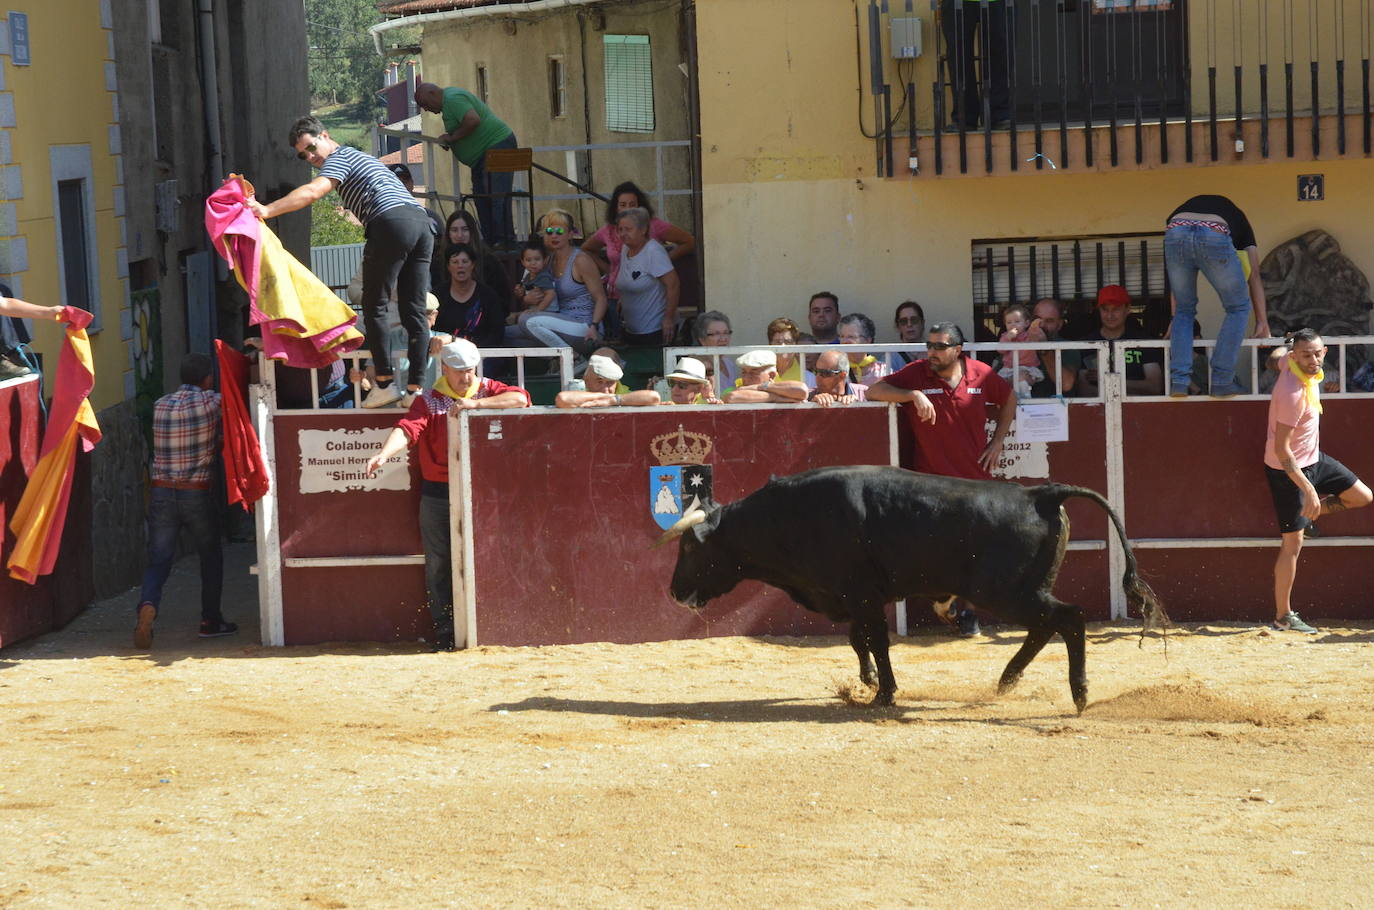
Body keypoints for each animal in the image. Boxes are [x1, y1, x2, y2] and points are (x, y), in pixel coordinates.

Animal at [654, 467, 1159, 714]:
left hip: (1006, 592)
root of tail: (1040, 493)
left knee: (1069, 619)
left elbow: (875, 640)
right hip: (1024, 591)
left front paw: (883, 694)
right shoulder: (856, 596)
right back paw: (1006, 681)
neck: (787, 516)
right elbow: (859, 639)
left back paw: (1079, 694)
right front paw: (867, 681)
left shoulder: (858, 594)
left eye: (689, 548)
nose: (675, 593)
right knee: (1044, 628)